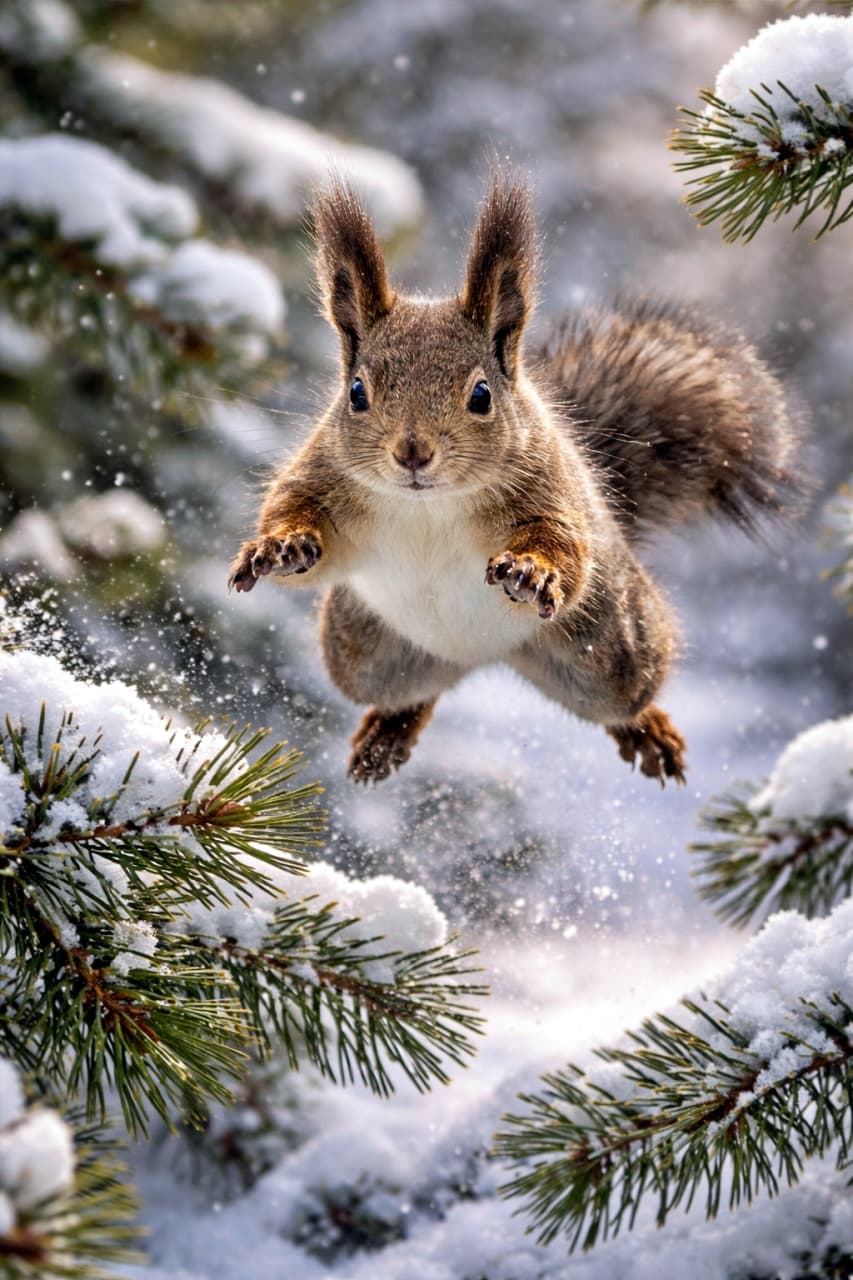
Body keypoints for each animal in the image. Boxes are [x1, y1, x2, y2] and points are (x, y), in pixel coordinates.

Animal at [228, 176, 796, 787]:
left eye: (481, 394)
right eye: (356, 392)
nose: (412, 452)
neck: (429, 505)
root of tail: (481, 657)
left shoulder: (548, 491)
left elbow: (562, 546)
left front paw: (530, 570)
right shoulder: (323, 476)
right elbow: (300, 523)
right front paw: (281, 548)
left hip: (614, 648)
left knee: (625, 698)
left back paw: (648, 732)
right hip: (361, 651)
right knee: (414, 693)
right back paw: (387, 733)